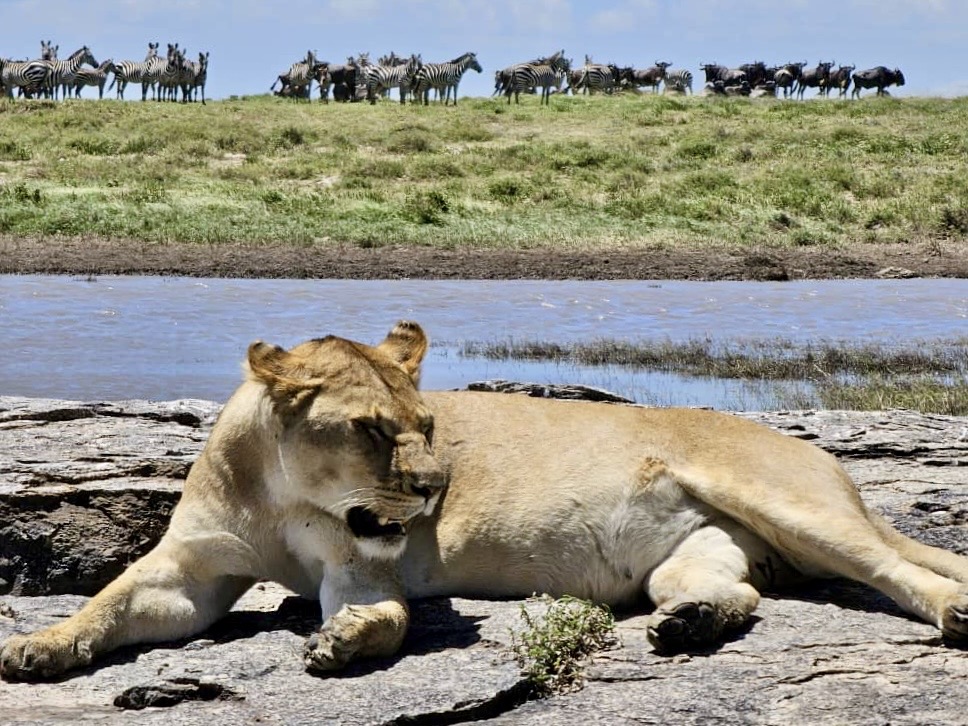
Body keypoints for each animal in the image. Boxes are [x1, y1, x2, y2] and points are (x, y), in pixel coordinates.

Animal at [1, 321, 967, 680]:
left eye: (428, 424)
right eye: (370, 429)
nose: (434, 488)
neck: (280, 494)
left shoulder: (362, 566)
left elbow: (383, 616)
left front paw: (345, 641)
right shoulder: (189, 573)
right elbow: (112, 601)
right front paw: (38, 648)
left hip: (790, 501)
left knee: (898, 565)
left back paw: (956, 611)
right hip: (699, 552)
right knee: (733, 590)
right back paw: (690, 625)